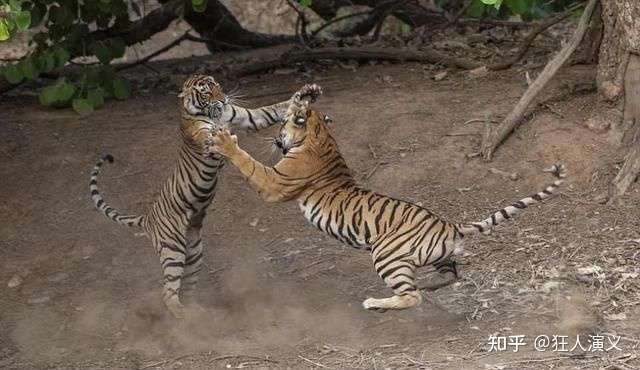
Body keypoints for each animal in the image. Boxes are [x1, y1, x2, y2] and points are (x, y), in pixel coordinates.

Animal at [89, 76, 320, 318]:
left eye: (217, 86)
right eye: (206, 93)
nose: (224, 99)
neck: (214, 114)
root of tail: (148, 217)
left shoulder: (246, 116)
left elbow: (273, 108)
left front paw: (306, 93)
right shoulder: (205, 137)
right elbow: (215, 137)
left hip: (194, 252)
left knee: (186, 285)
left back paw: (196, 309)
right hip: (172, 250)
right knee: (167, 292)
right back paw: (181, 313)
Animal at [209, 89, 564, 312]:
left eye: (284, 123)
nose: (276, 138)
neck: (321, 135)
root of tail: (450, 225)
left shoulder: (274, 183)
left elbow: (247, 162)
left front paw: (225, 141)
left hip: (385, 253)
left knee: (411, 297)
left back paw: (376, 304)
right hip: (434, 257)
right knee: (447, 276)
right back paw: (428, 284)